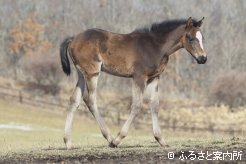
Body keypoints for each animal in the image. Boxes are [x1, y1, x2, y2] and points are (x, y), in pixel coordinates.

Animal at [59, 16, 206, 149]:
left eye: (202, 38)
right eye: (190, 38)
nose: (203, 58)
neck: (156, 46)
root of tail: (73, 39)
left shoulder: (154, 78)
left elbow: (154, 106)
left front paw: (161, 140)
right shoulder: (139, 77)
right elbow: (137, 105)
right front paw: (118, 139)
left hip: (81, 74)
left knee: (74, 100)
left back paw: (68, 142)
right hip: (92, 73)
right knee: (90, 100)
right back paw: (110, 138)